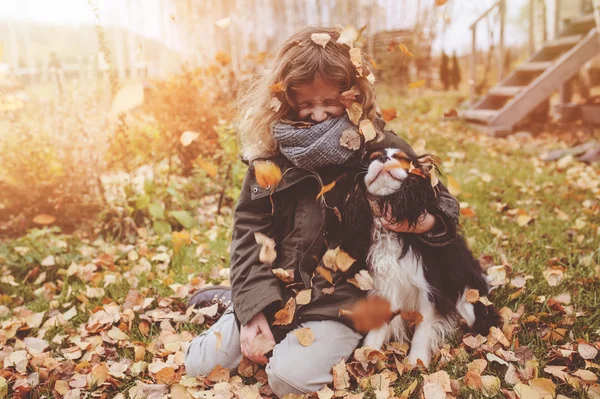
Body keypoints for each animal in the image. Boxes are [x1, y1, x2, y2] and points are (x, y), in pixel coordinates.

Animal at [342, 148, 502, 368]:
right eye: (372, 158)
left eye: (402, 159)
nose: (383, 158)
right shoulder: (383, 285)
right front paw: (367, 356)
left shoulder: (429, 289)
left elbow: (423, 328)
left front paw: (416, 361)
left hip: (469, 300)